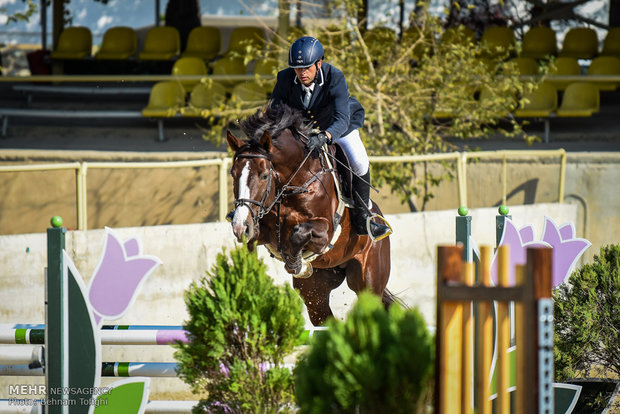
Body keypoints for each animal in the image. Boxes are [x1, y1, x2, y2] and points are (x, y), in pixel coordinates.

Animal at [226, 103, 392, 326]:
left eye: (264, 175)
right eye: (233, 174)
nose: (239, 226)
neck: (294, 183)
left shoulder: (324, 234)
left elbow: (299, 233)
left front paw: (295, 264)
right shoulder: (264, 232)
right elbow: (253, 240)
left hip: (369, 280)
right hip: (316, 290)